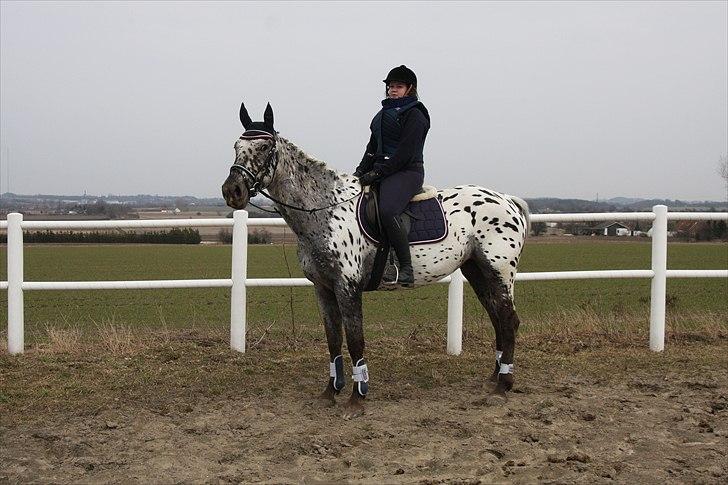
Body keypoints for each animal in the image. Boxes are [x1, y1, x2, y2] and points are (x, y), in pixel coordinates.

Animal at [219, 103, 532, 420]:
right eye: (236, 146)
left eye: (264, 147)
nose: (232, 191)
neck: (324, 210)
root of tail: (507, 199)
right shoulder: (323, 288)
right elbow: (333, 339)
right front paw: (330, 392)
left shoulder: (347, 287)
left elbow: (355, 339)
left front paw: (357, 399)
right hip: (477, 272)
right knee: (498, 319)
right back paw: (494, 378)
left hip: (498, 272)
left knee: (509, 320)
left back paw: (502, 386)